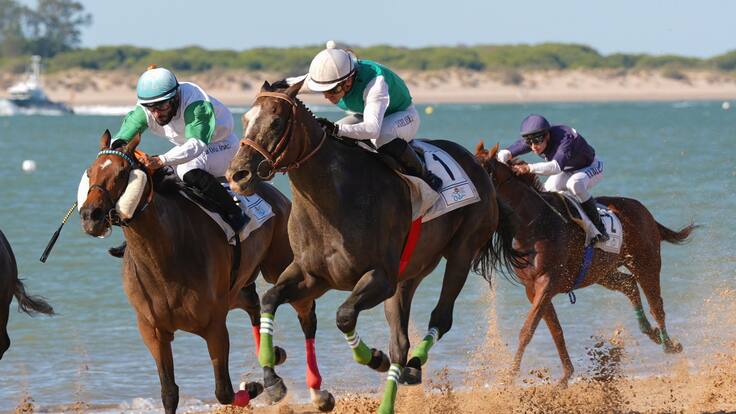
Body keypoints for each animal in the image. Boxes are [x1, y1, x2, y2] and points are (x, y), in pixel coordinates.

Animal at [78, 130, 334, 413]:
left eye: (123, 173)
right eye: (90, 171)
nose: (90, 215)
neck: (163, 259)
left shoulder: (214, 326)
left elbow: (223, 391)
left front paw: (252, 388)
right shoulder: (152, 330)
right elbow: (169, 392)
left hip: (278, 268)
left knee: (305, 316)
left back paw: (312, 390)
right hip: (236, 287)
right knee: (254, 305)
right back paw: (272, 364)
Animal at [226, 81, 523, 414]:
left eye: (276, 122)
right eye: (245, 119)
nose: (237, 175)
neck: (333, 198)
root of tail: (477, 164)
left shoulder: (379, 277)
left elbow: (343, 316)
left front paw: (374, 358)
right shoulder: (312, 276)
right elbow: (270, 300)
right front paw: (272, 380)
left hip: (461, 251)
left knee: (440, 319)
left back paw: (413, 365)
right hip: (410, 274)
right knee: (400, 343)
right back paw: (398, 385)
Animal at [475, 141, 697, 386]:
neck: (535, 224)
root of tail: (644, 211)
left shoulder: (547, 283)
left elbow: (528, 329)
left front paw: (509, 378)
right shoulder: (532, 288)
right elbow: (556, 331)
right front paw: (565, 376)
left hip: (645, 263)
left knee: (656, 304)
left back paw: (669, 344)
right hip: (602, 272)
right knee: (629, 285)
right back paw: (650, 331)